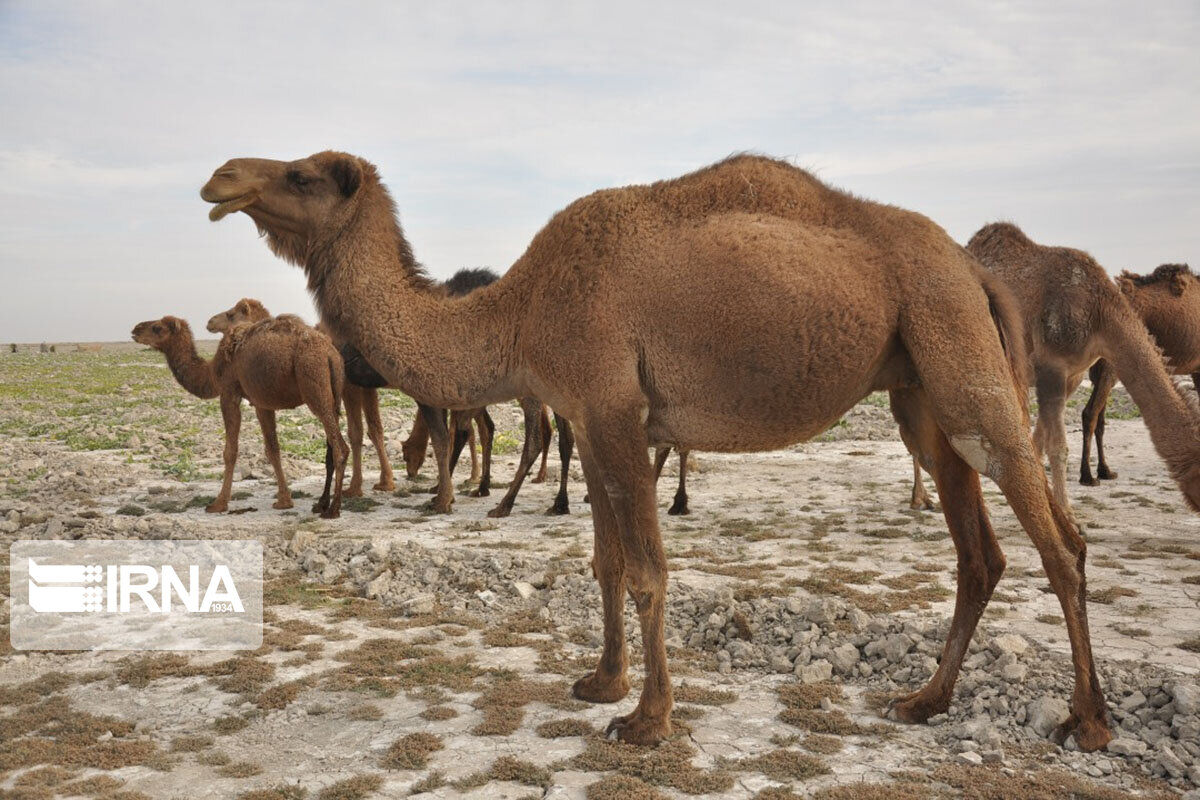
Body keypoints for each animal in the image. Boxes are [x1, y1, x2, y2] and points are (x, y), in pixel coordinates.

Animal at [137, 307, 350, 520]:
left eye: (157, 328)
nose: (135, 329)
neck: (212, 371)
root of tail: (330, 353)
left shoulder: (229, 392)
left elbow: (230, 451)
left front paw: (218, 503)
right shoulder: (261, 402)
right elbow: (272, 449)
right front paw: (284, 500)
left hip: (314, 383)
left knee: (340, 447)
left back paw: (333, 509)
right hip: (334, 393)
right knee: (332, 443)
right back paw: (322, 504)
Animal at [204, 148, 1113, 753]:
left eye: (301, 176)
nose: (220, 179)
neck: (518, 311)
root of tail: (971, 267)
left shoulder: (610, 405)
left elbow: (645, 569)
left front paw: (645, 719)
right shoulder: (601, 418)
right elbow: (605, 563)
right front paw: (600, 681)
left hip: (957, 352)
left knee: (1059, 542)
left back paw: (1089, 721)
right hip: (919, 386)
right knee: (980, 550)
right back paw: (925, 700)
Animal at [1080, 266, 1200, 484]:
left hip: (1100, 367)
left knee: (1099, 417)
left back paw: (1105, 471)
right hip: (1111, 364)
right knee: (1090, 413)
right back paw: (1087, 476)